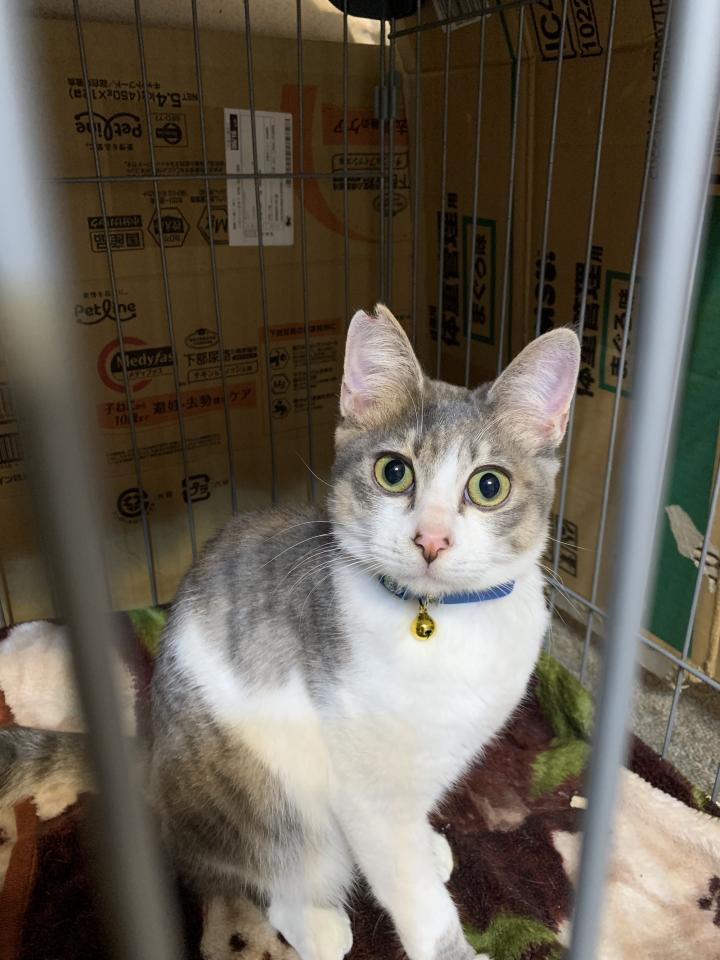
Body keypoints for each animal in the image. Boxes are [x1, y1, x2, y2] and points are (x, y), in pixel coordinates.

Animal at [0, 305, 580, 960]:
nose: (431, 539)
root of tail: (150, 755)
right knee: (263, 871)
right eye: (394, 471)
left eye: (488, 485)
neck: (440, 621)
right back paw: (316, 923)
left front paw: (427, 843)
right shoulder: (365, 785)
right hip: (268, 783)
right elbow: (416, 897)